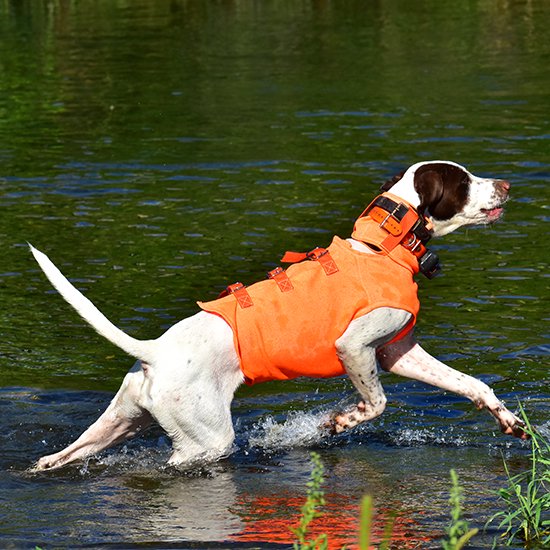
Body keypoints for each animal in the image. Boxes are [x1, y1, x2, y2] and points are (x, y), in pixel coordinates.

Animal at [30, 161, 532, 474]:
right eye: (463, 181)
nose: (508, 185)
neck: (384, 249)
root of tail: (154, 350)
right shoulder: (354, 348)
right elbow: (377, 403)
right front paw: (337, 422)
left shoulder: (397, 351)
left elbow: (474, 385)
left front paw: (509, 420)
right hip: (205, 442)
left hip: (120, 422)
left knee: (59, 458)